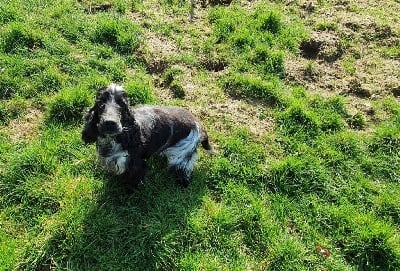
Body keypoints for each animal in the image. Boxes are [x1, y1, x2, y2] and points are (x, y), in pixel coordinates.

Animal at [82, 84, 214, 190]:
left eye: (122, 105)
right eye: (101, 103)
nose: (110, 123)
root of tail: (199, 124)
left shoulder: (136, 164)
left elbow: (133, 181)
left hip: (182, 154)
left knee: (185, 170)